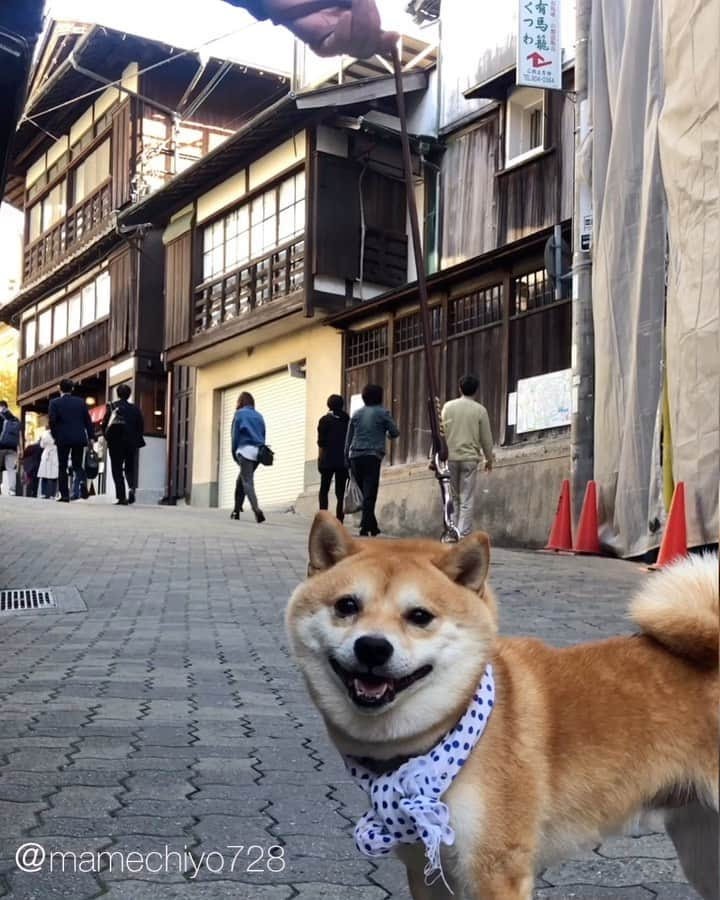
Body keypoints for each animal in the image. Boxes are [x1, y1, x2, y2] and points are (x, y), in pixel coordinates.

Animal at [286, 512, 720, 900]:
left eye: (420, 616)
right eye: (346, 606)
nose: (373, 647)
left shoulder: (495, 871)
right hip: (701, 847)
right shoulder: (427, 871)